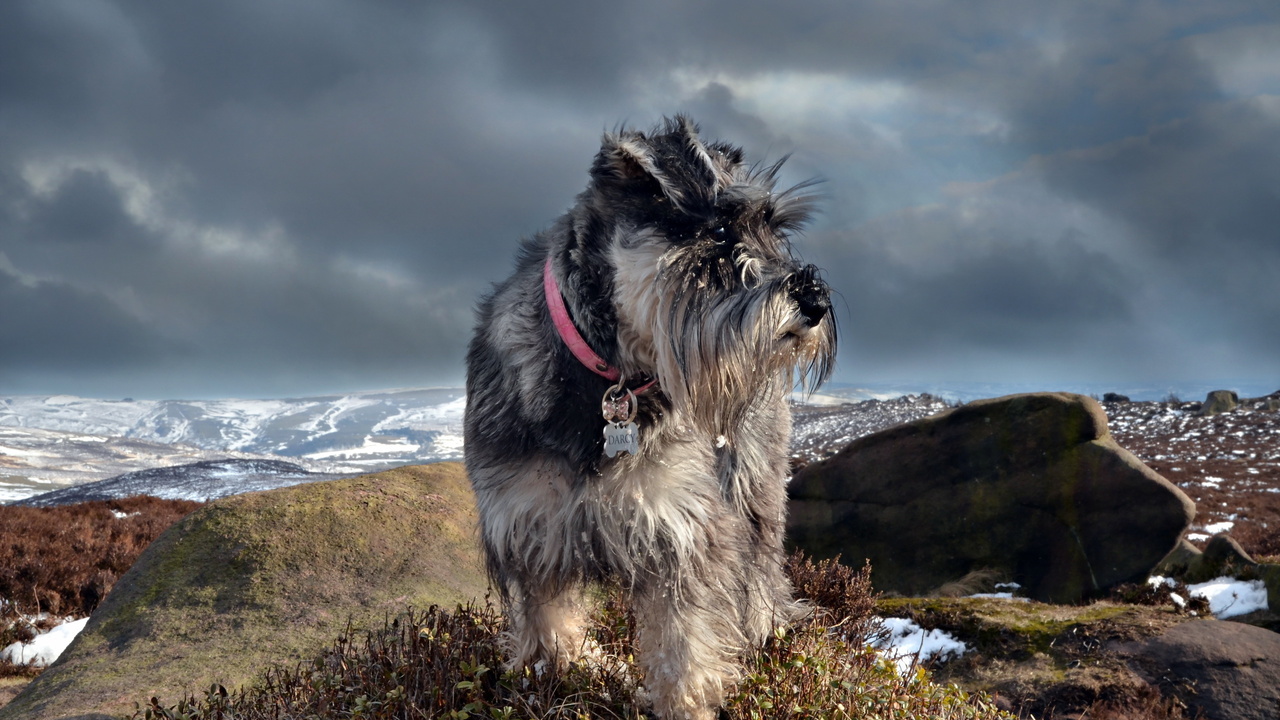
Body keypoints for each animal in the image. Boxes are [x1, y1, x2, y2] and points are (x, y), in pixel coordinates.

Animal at [465, 116, 834, 717]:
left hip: (752, 488)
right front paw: (566, 673)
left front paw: (686, 703)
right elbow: (550, 629)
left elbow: (683, 652)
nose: (817, 302)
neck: (608, 379)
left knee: (760, 571)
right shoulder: (529, 530)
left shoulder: (681, 534)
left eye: (775, 228)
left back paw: (767, 633)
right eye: (719, 232)